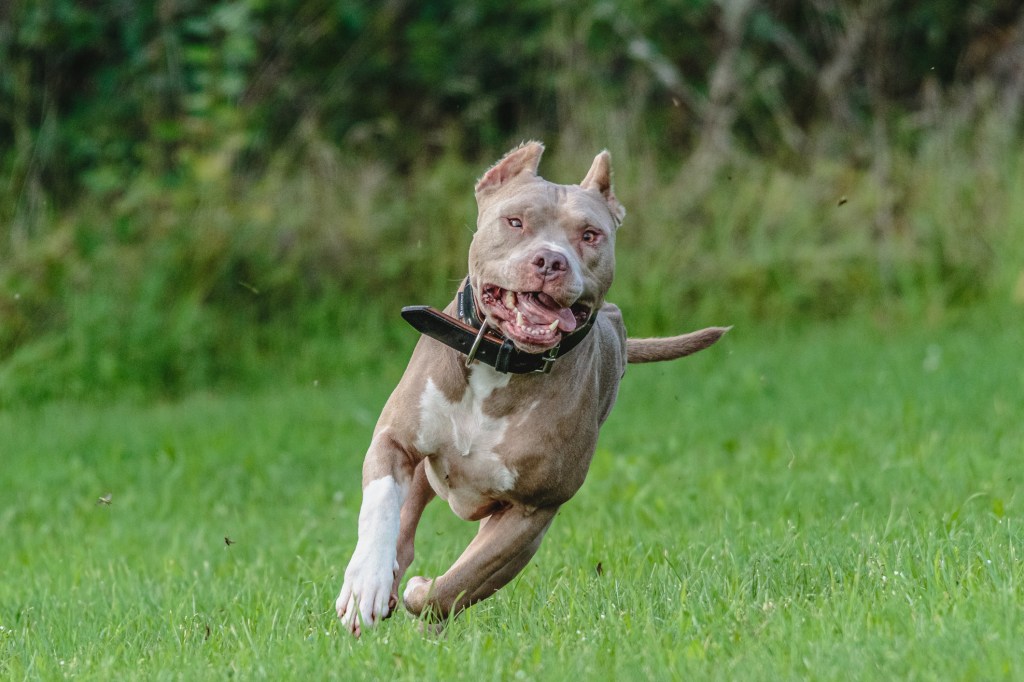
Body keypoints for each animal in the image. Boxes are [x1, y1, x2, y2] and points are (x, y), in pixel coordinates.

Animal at [331, 140, 724, 634]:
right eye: (515, 222)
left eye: (590, 235)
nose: (551, 260)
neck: (503, 360)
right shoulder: (395, 440)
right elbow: (381, 505)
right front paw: (365, 584)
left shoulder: (532, 511)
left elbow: (461, 581)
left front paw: (422, 596)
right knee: (404, 522)